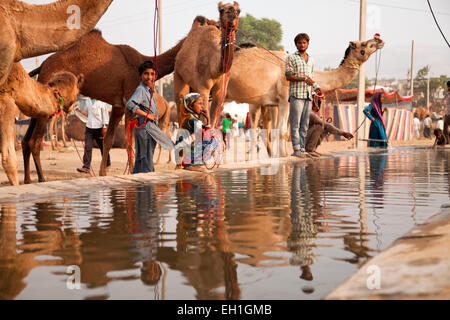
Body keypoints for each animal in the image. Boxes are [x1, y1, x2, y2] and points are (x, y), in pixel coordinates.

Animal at [21, 30, 183, 185]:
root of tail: (42, 66)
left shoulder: (118, 105)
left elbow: (108, 139)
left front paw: (103, 173)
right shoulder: (130, 101)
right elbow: (130, 140)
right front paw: (132, 172)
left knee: (25, 141)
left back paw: (27, 180)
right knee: (34, 141)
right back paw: (41, 179)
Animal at [227, 36, 384, 156]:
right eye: (363, 44)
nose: (379, 39)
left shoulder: (276, 103)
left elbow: (280, 132)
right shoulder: (284, 100)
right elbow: (282, 132)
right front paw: (284, 157)